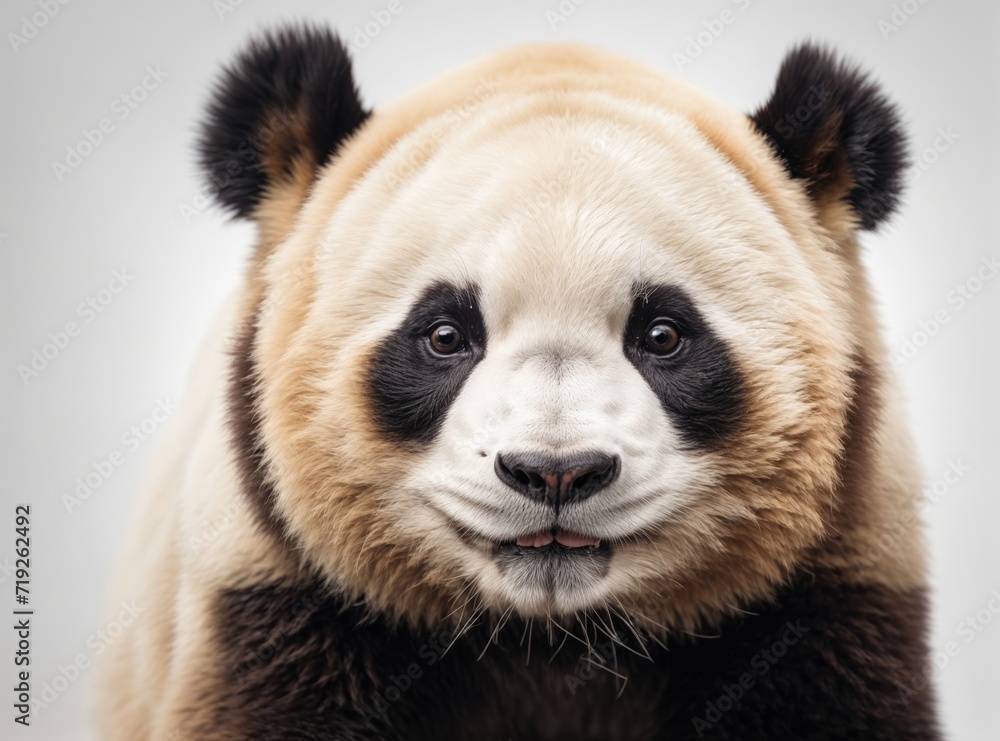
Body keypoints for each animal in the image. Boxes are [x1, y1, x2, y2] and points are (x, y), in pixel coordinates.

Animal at [95, 24, 941, 740]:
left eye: (663, 336)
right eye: (444, 335)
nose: (556, 472)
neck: (550, 640)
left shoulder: (826, 604)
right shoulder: (283, 611)